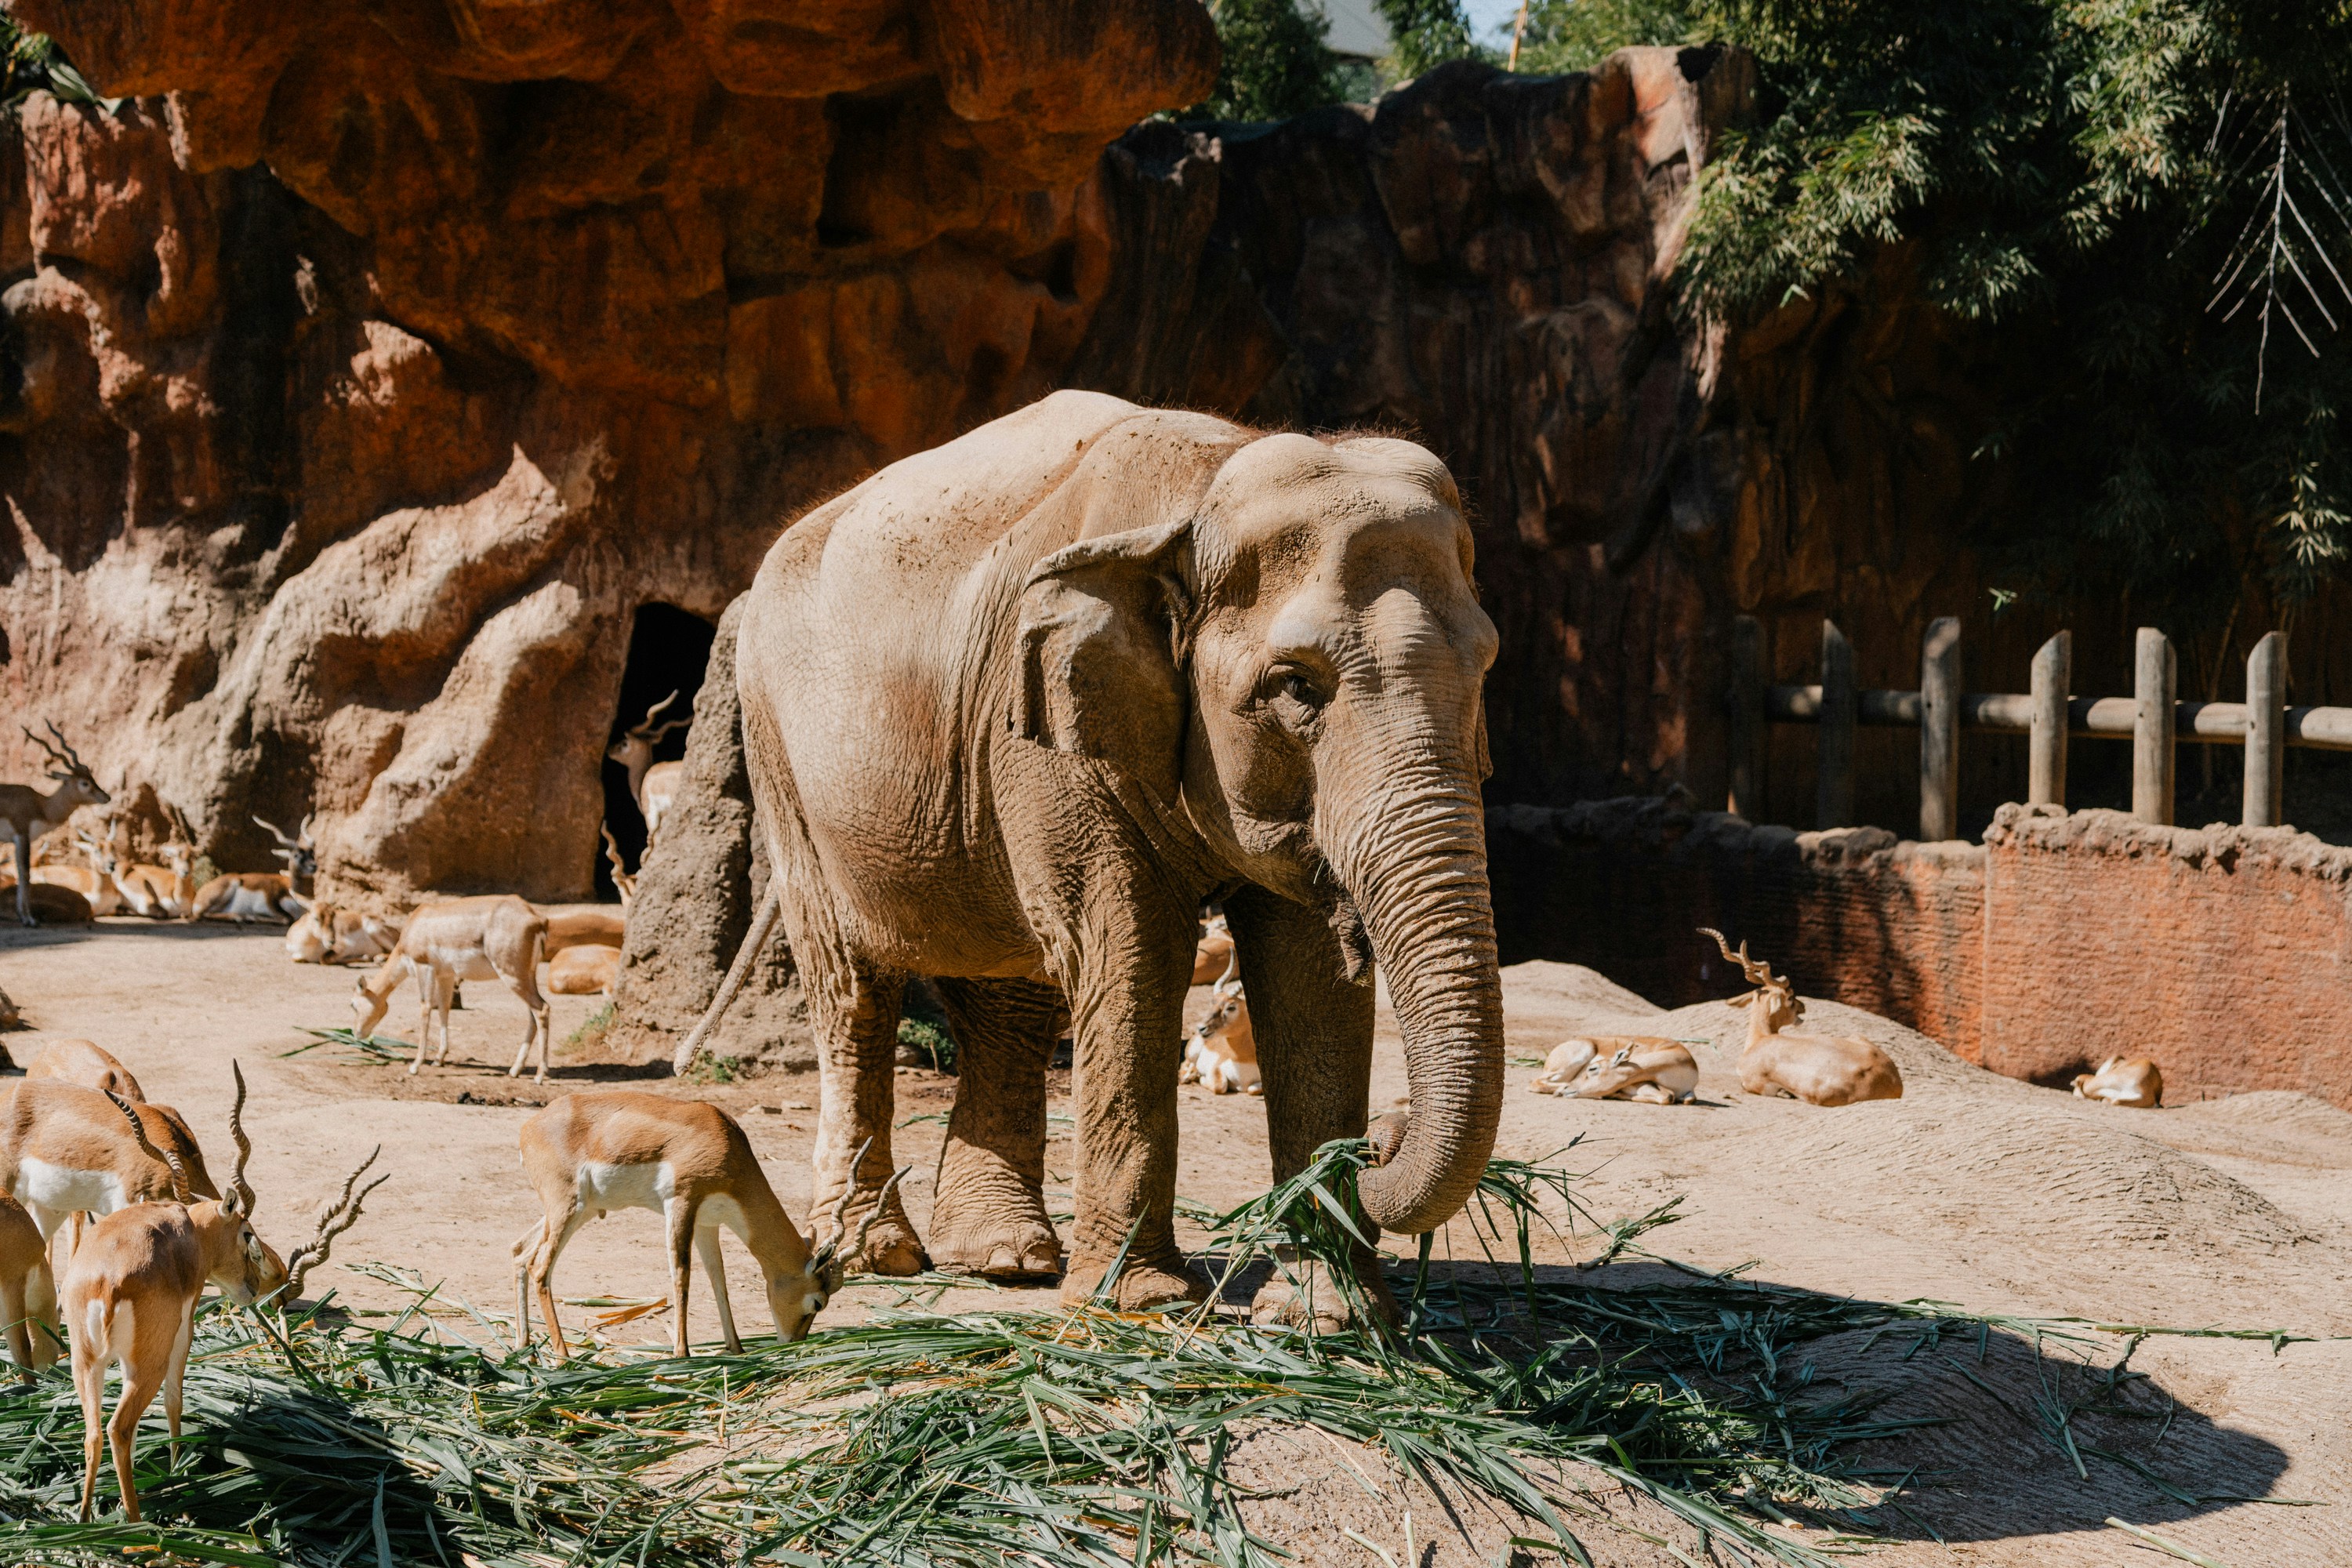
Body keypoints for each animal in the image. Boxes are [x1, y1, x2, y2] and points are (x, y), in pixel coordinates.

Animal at [731, 389, 1504, 1321]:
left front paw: (1328, 1313)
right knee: (853, 988)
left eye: (1486, 668)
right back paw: (880, 1255)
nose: (1379, 1141)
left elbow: (1309, 975)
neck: (1200, 496)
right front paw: (1136, 1305)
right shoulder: (1048, 728)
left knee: (1010, 990)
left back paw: (1007, 1258)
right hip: (780, 756)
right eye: (1295, 685)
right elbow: (1133, 950)